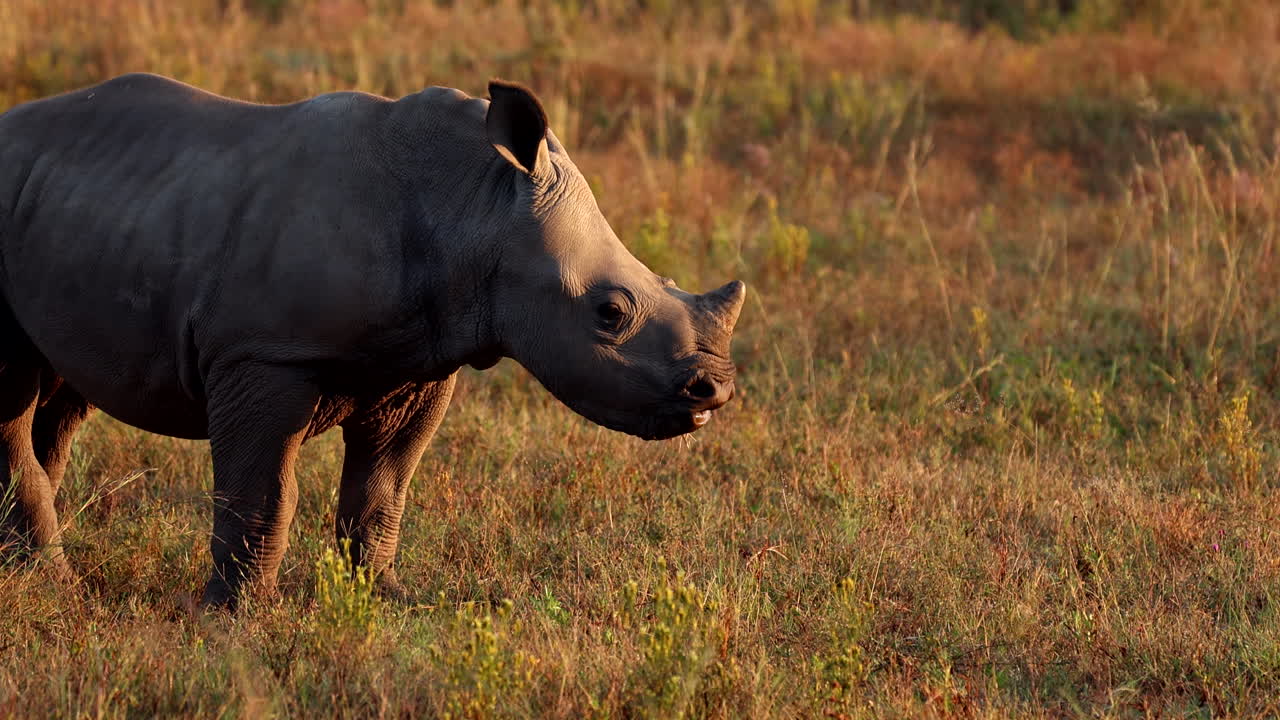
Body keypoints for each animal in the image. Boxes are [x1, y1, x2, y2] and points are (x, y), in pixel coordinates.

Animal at [0, 74, 744, 607]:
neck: (472, 206)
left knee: (61, 402)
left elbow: (382, 490)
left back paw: (26, 579)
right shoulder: (263, 354)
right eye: (610, 312)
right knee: (16, 403)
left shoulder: (420, 364)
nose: (714, 390)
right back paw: (57, 588)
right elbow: (263, 492)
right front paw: (235, 616)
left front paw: (382, 598)